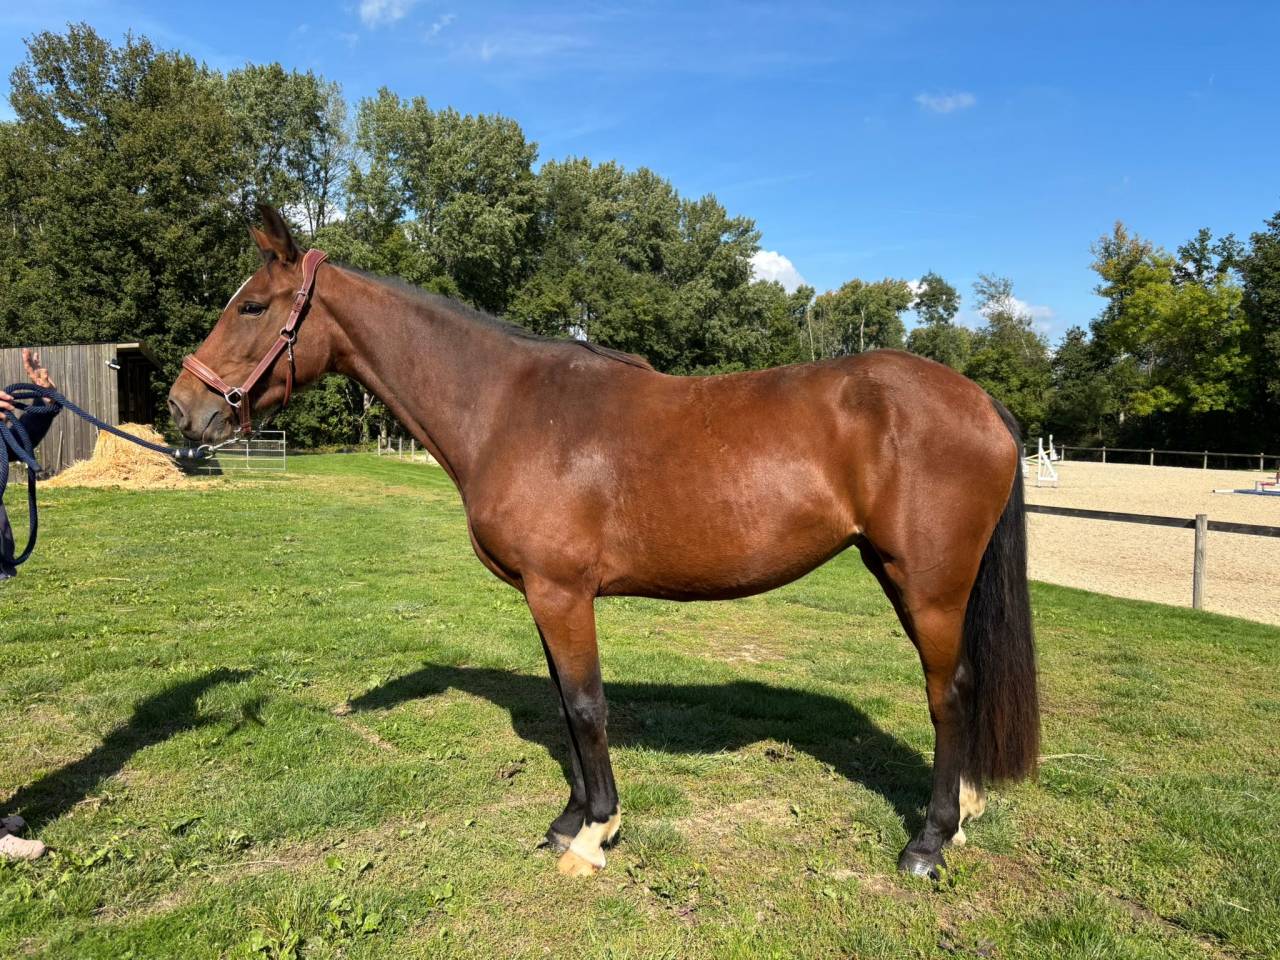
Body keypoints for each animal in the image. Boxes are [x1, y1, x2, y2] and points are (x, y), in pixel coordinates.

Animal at [168, 206, 1039, 880]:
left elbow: (586, 706)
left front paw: (593, 834)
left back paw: (929, 842)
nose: (181, 410)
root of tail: (979, 401)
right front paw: (570, 819)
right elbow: (565, 703)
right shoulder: (546, 596)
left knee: (949, 692)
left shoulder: (561, 592)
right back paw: (962, 813)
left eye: (252, 307)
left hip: (928, 583)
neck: (507, 406)